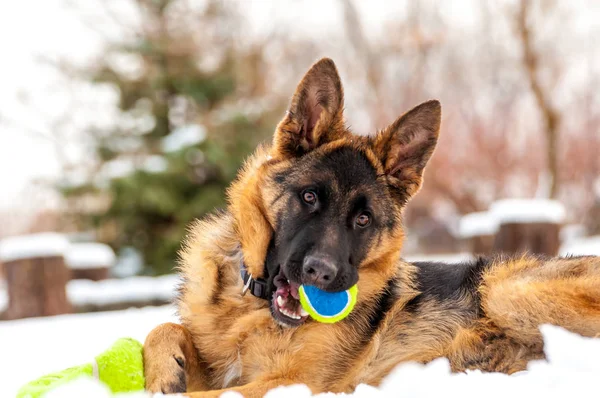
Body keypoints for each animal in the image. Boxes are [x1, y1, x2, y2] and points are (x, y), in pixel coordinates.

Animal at [143, 57, 600, 396]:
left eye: (363, 219)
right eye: (309, 198)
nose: (321, 274)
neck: (250, 308)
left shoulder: (291, 383)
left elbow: (213, 394)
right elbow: (164, 328)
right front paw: (163, 373)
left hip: (505, 288)